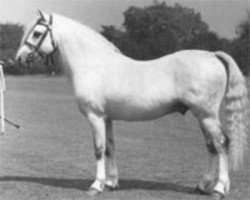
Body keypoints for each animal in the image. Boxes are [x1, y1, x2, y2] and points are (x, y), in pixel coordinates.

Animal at [16, 11, 248, 199]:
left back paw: (219, 189)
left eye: (37, 33)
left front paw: (96, 186)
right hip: (202, 116)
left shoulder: (95, 116)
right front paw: (111, 183)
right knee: (212, 146)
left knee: (221, 143)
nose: (18, 59)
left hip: (207, 115)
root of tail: (213, 55)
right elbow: (110, 147)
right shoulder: (107, 118)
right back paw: (202, 186)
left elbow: (98, 149)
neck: (93, 64)